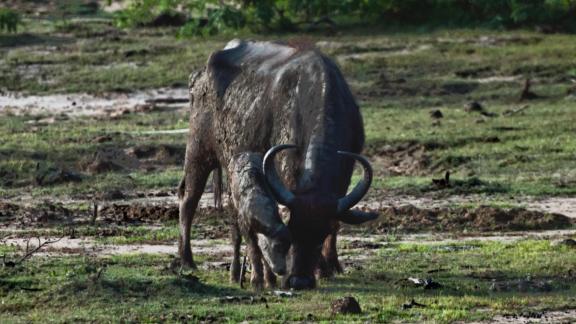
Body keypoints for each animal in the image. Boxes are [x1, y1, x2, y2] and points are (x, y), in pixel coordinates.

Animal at [180, 39, 378, 290]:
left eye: (320, 235)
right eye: (293, 232)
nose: (299, 281)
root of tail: (199, 75)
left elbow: (336, 223)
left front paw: (330, 266)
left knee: (233, 216)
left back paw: (234, 272)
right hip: (198, 150)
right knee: (188, 200)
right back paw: (187, 260)